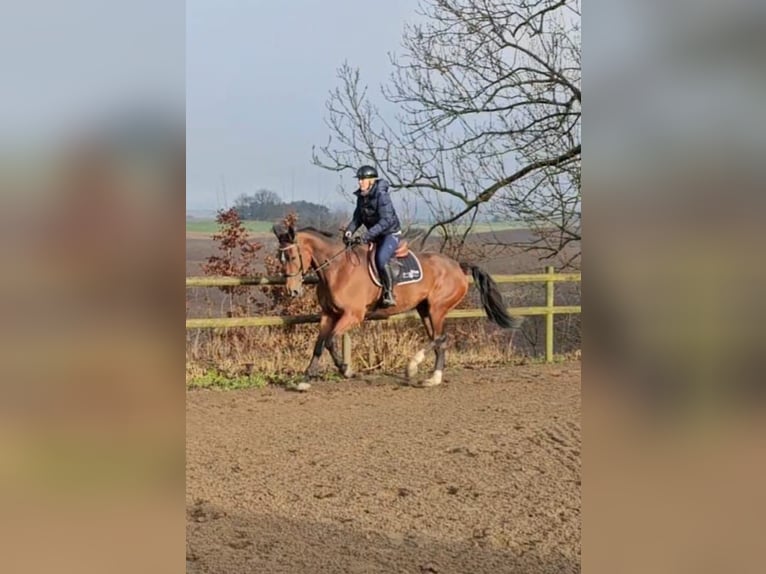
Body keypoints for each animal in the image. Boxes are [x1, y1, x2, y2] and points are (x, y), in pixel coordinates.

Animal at [272, 223, 520, 390]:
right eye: (279, 257)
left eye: (292, 256)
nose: (292, 291)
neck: (337, 269)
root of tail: (458, 266)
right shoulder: (328, 315)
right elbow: (320, 344)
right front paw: (305, 379)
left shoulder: (352, 315)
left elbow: (330, 342)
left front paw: (347, 370)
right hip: (424, 310)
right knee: (438, 339)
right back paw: (434, 378)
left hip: (437, 308)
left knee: (441, 337)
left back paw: (414, 367)